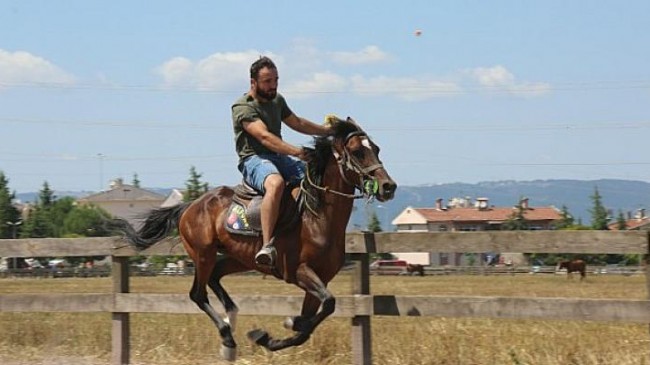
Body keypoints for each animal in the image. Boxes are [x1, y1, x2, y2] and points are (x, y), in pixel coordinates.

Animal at [115, 117, 394, 362]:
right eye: (357, 152)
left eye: (377, 149)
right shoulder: (300, 272)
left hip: (238, 258)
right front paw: (285, 324)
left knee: (215, 278)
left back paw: (232, 321)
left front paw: (270, 335)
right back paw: (227, 339)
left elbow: (310, 323)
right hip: (203, 254)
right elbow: (327, 305)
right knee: (198, 293)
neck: (316, 217)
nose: (388, 186)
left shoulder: (319, 280)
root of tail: (190, 206)